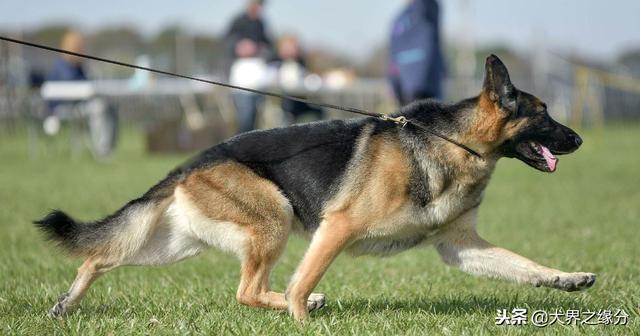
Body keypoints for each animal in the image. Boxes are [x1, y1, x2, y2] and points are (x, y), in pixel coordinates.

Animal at [36, 55, 596, 320]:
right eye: (544, 114)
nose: (580, 139)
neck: (451, 142)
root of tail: (197, 159)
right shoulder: (337, 227)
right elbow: (300, 285)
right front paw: (304, 319)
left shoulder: (460, 247)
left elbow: (525, 267)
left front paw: (567, 279)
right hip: (275, 219)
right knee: (250, 291)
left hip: (178, 245)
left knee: (99, 258)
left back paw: (65, 305)